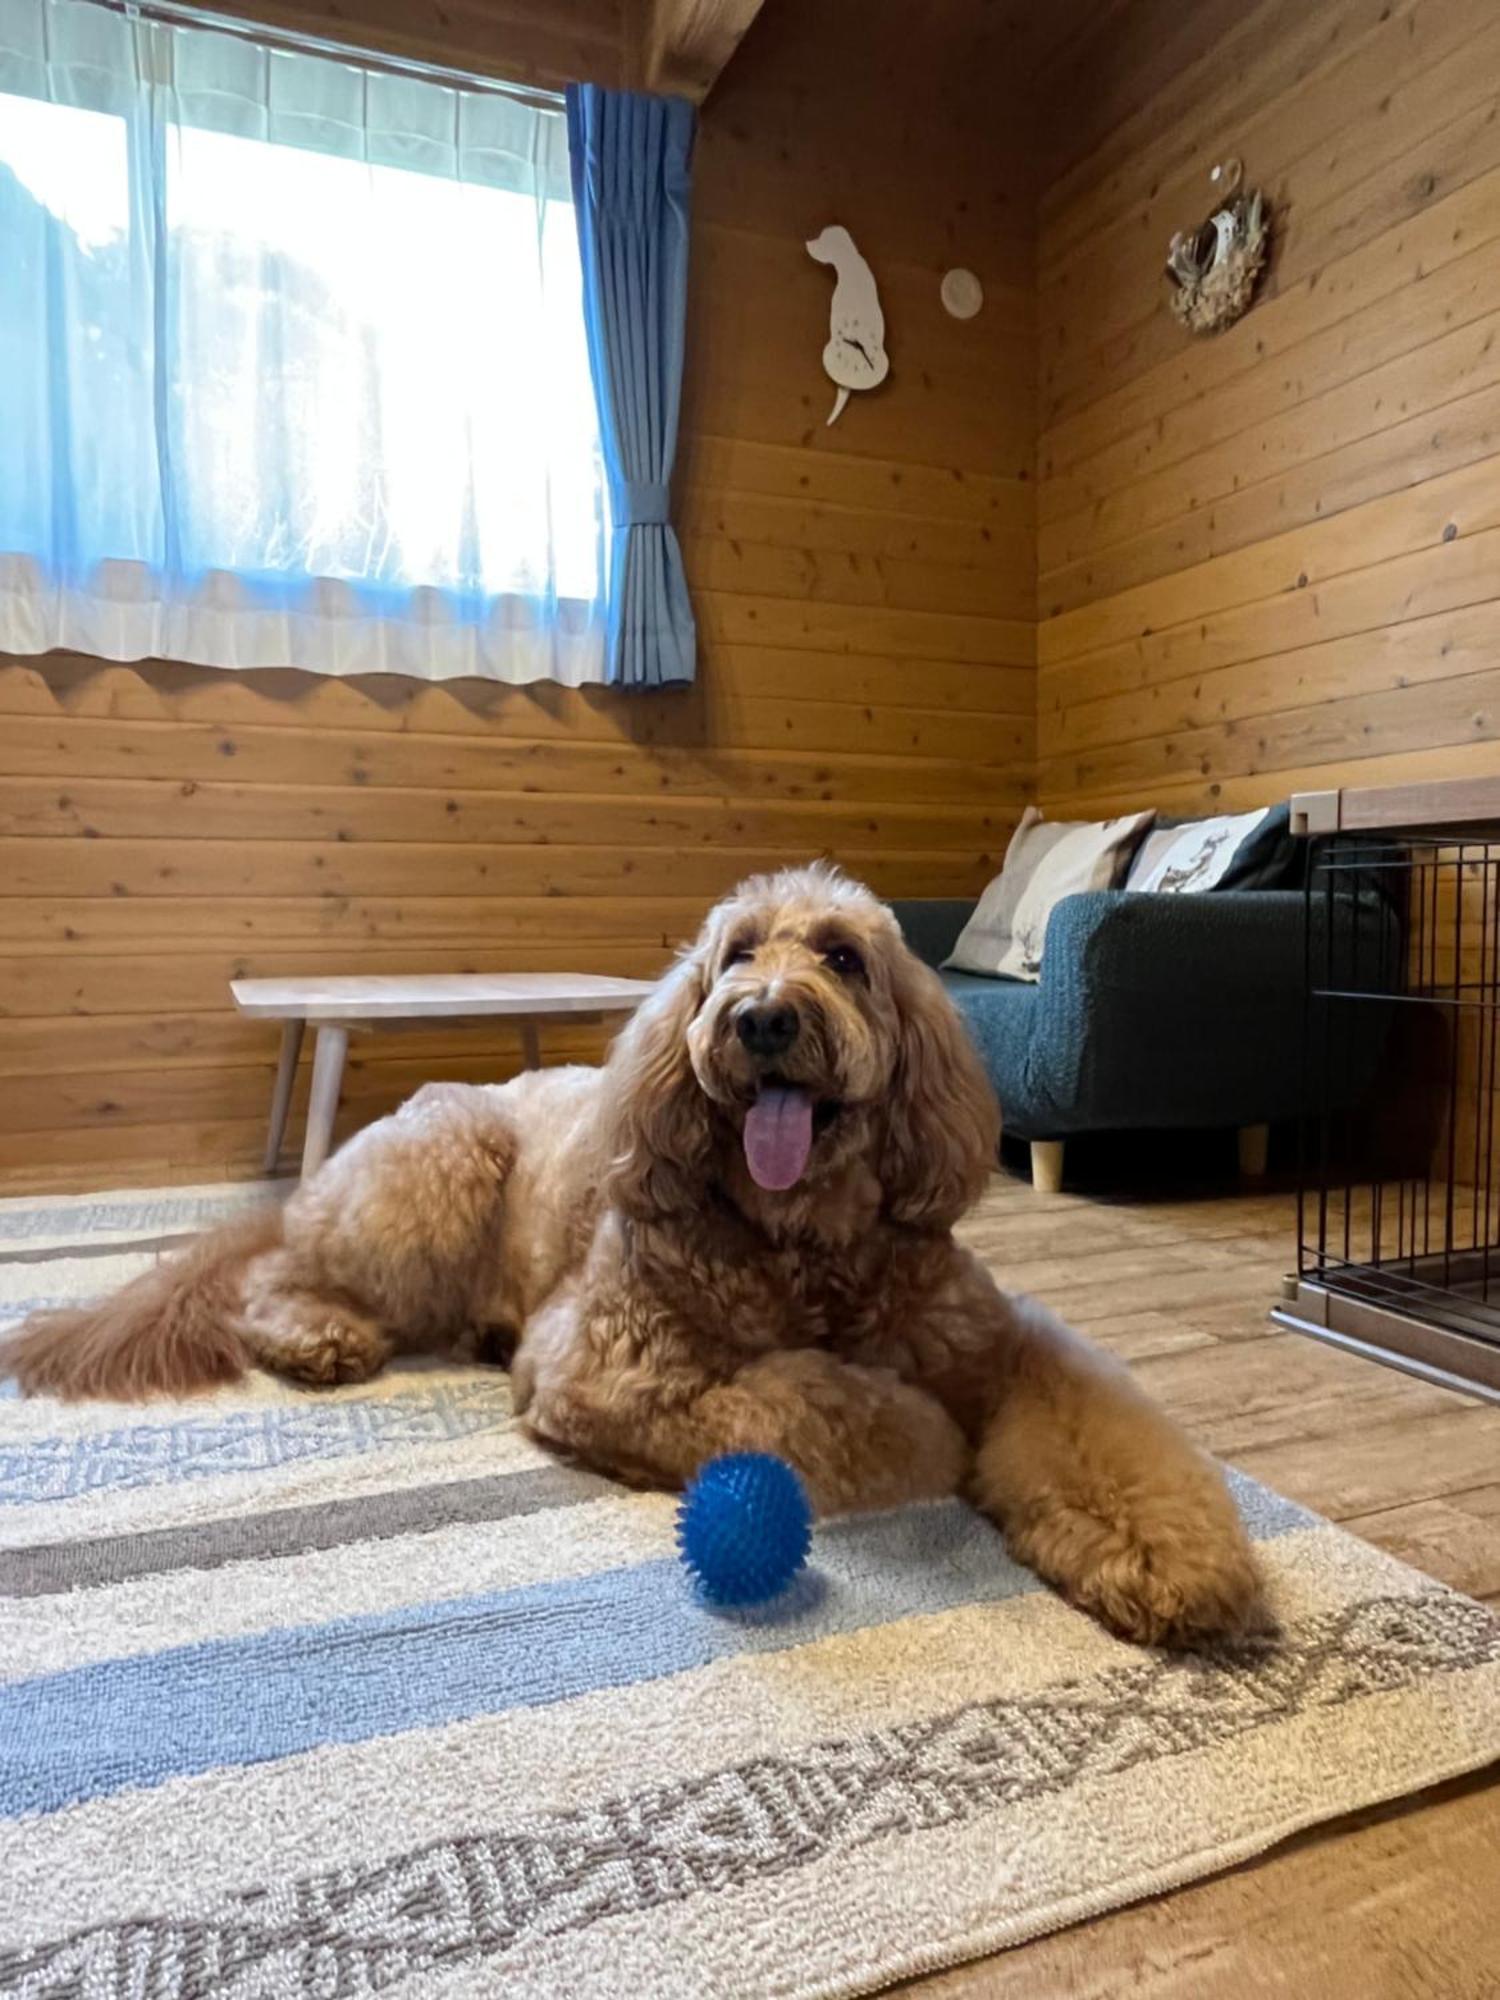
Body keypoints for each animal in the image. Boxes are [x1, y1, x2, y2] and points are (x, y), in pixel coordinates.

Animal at [5, 868, 1264, 1648]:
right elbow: (817, 1404)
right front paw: (924, 1435)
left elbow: (1106, 1433)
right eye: (736, 953)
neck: (805, 1243)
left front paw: (1169, 1558)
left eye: (845, 957)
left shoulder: (1004, 1344)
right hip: (438, 1167)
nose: (761, 1016)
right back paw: (322, 1332)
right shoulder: (610, 1370)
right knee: (276, 1283)